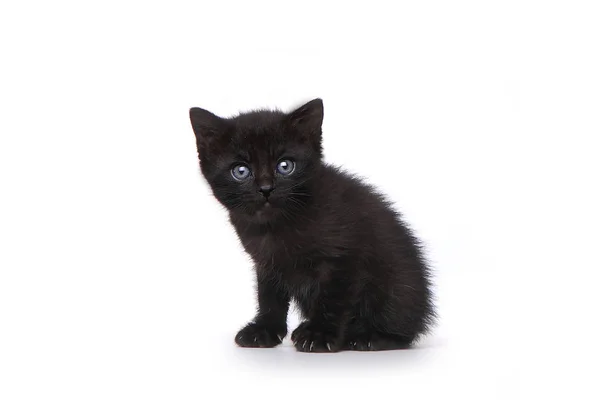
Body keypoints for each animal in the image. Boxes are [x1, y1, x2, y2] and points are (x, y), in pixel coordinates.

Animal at [190, 98, 434, 352]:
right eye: (241, 171)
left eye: (285, 166)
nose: (266, 189)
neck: (275, 227)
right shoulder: (266, 262)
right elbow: (268, 297)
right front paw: (264, 330)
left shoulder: (343, 258)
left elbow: (332, 298)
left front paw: (320, 334)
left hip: (396, 286)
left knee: (402, 329)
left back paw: (369, 337)